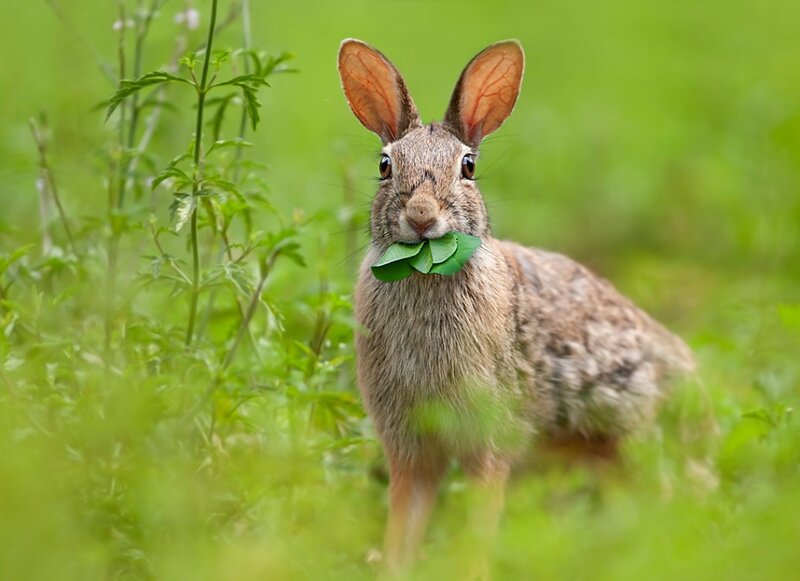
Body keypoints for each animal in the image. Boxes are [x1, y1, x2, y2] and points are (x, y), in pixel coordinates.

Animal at [338, 38, 695, 575]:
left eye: (468, 167)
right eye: (385, 166)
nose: (421, 216)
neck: (424, 270)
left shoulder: (489, 436)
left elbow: (481, 517)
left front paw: (472, 570)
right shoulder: (411, 443)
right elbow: (405, 517)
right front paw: (393, 567)